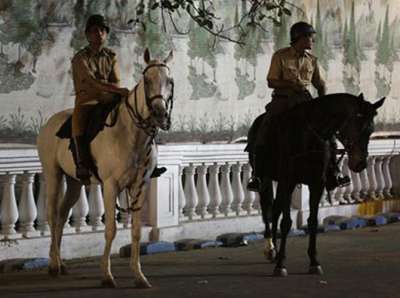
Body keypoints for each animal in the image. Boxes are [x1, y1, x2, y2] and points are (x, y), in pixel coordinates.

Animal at [37, 49, 173, 288]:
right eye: (147, 80)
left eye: (170, 81)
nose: (160, 114)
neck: (131, 134)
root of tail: (49, 124)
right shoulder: (110, 186)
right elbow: (110, 229)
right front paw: (107, 275)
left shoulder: (140, 186)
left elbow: (136, 232)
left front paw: (139, 275)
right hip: (53, 174)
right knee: (52, 216)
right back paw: (53, 265)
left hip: (75, 182)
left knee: (62, 216)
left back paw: (60, 264)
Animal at [247, 93, 384, 278]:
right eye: (358, 126)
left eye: (370, 130)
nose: (360, 164)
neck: (309, 136)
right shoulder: (288, 181)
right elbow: (286, 222)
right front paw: (281, 264)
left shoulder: (316, 184)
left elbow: (312, 221)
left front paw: (314, 262)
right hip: (265, 178)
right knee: (267, 208)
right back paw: (270, 248)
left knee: (275, 210)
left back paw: (274, 250)